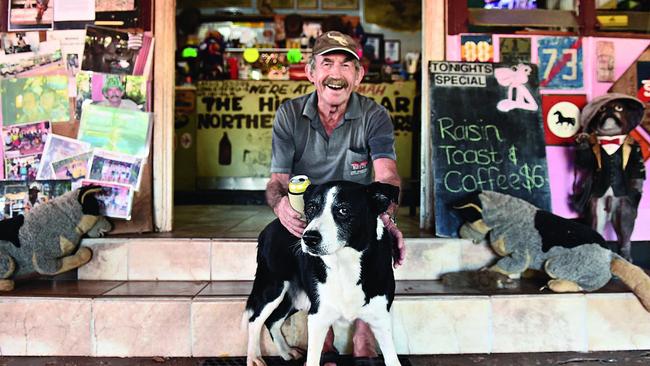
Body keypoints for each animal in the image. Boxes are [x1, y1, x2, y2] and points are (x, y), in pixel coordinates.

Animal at [244, 182, 400, 366]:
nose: (308, 238)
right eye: (311, 208)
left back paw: (286, 351)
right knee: (255, 320)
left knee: (272, 321)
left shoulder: (381, 319)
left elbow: (392, 359)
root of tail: (269, 227)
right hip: (273, 288)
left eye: (343, 210)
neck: (345, 263)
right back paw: (254, 358)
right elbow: (313, 358)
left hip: (295, 298)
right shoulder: (318, 317)